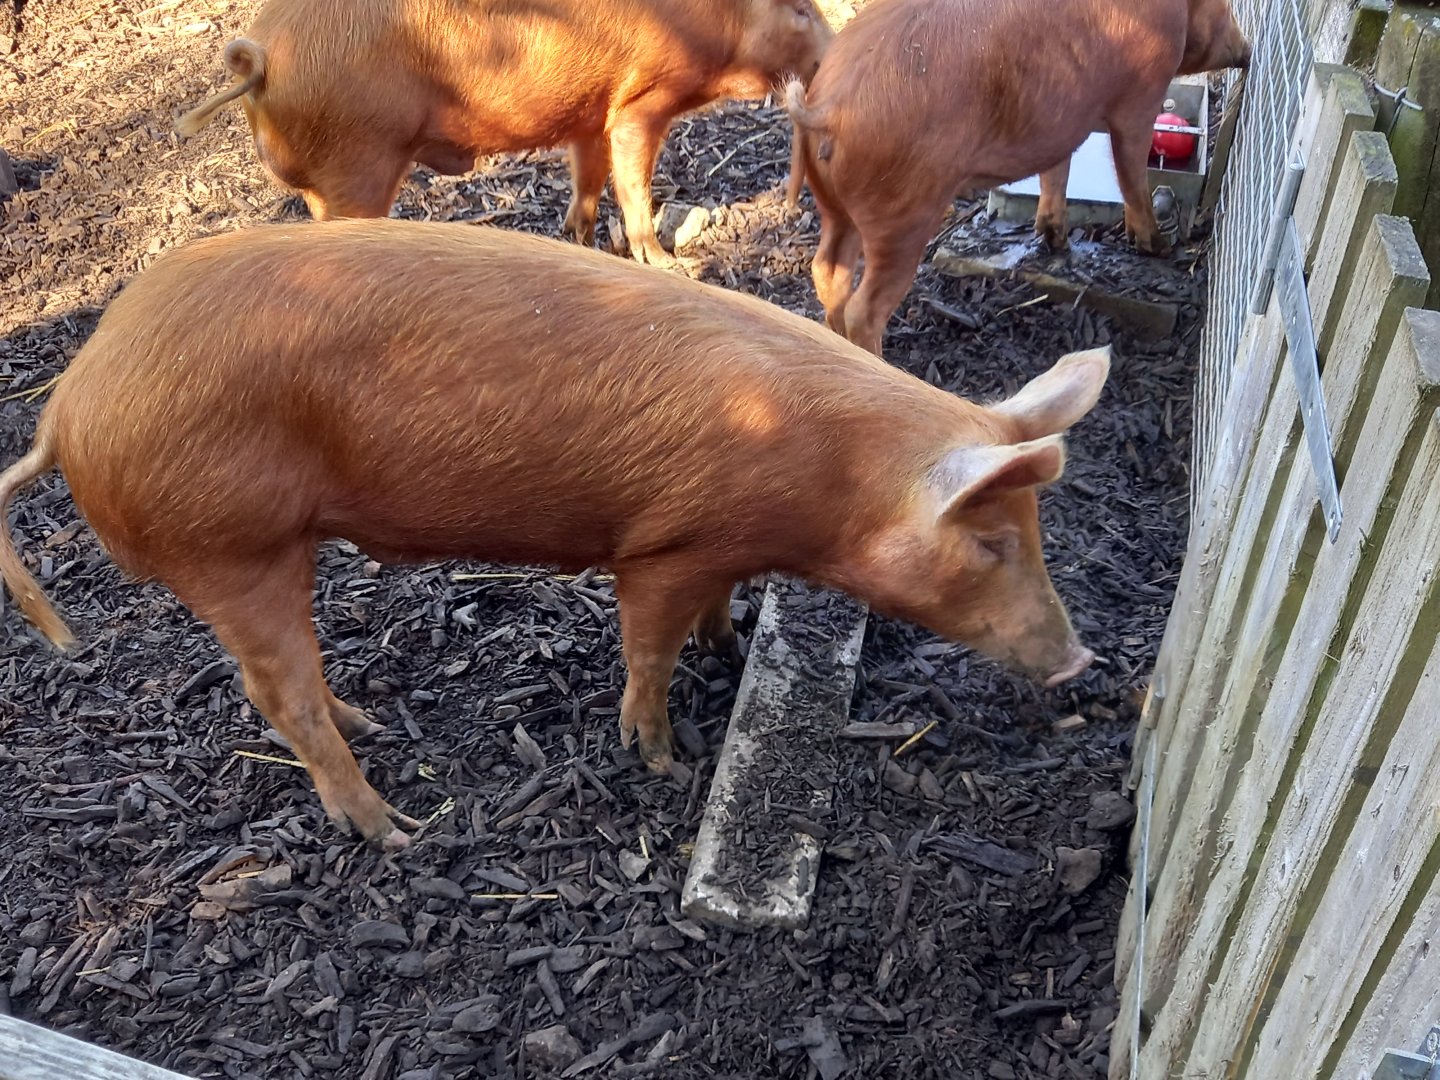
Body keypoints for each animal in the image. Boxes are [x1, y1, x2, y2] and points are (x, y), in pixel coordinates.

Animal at [0, 220, 1106, 851]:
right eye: (992, 545)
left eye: (1036, 533)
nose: (1079, 661)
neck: (829, 483)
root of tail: (69, 403)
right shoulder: (663, 547)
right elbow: (649, 650)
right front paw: (662, 761)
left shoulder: (724, 547)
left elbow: (715, 611)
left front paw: (731, 645)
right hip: (231, 547)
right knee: (277, 693)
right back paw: (391, 832)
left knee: (286, 686)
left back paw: (374, 728)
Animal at [175, 0, 832, 264]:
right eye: (802, 10)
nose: (835, 54)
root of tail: (261, 60)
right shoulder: (641, 103)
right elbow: (633, 180)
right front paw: (666, 261)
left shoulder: (592, 111)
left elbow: (589, 176)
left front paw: (579, 239)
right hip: (357, 165)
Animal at [784, 0, 1251, 355]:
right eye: (1226, 6)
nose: (1248, 51)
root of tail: (827, 104)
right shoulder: (1140, 94)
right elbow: (1131, 170)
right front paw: (1157, 246)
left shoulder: (1059, 123)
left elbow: (1057, 171)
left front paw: (1055, 240)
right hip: (902, 213)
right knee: (864, 308)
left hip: (834, 204)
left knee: (827, 271)